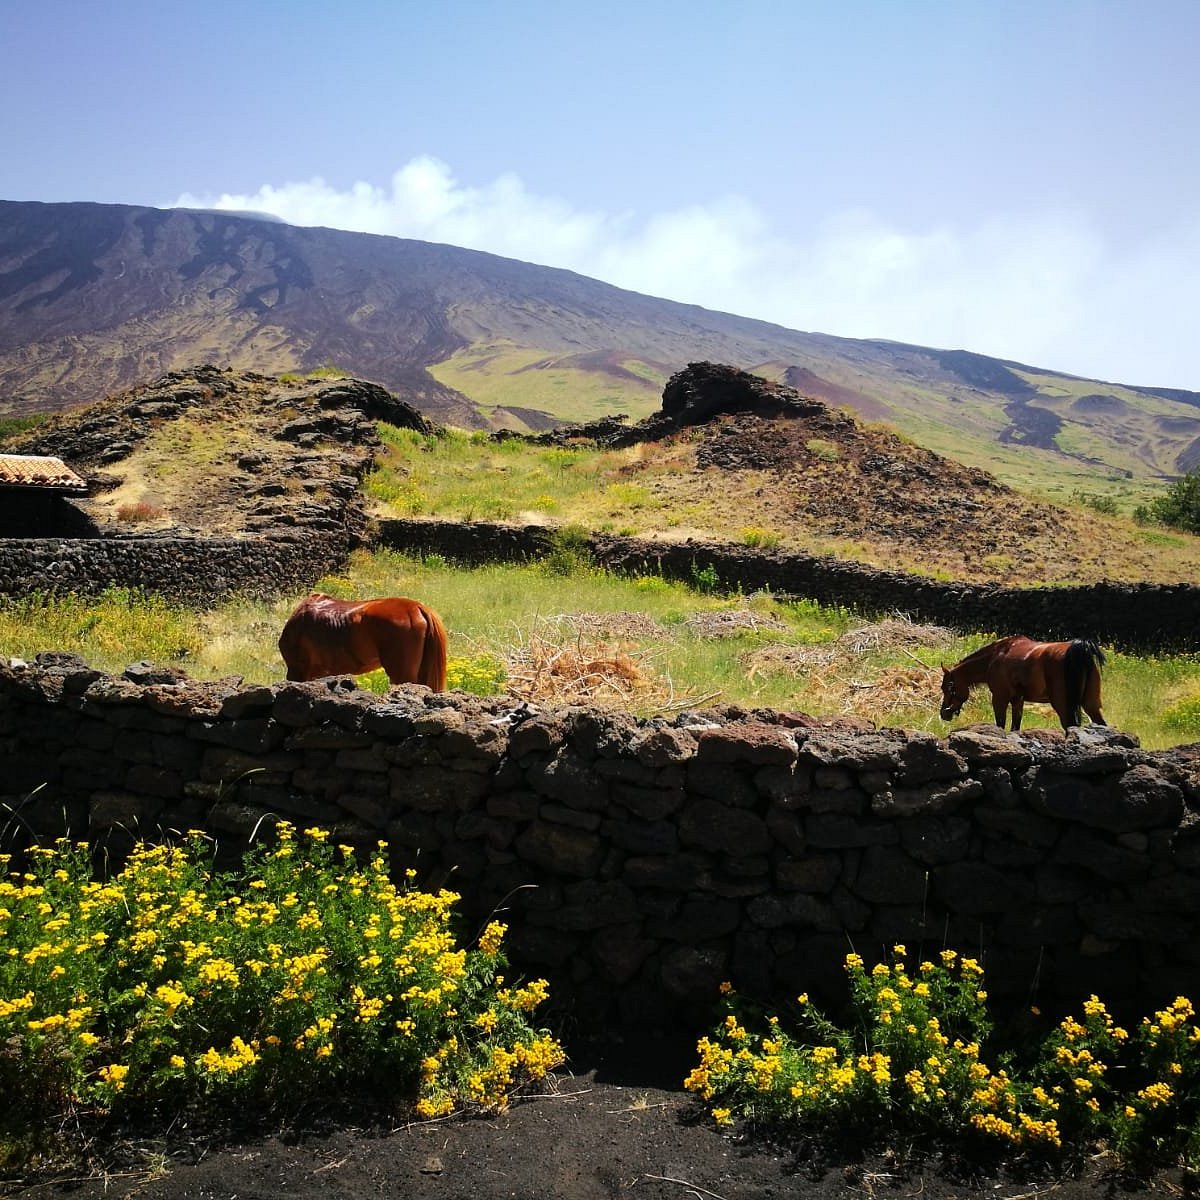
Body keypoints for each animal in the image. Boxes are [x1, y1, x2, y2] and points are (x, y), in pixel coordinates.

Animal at [936, 638, 1104, 729]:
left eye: (948, 687)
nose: (944, 713)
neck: (994, 657)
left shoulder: (999, 699)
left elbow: (1001, 725)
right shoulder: (1018, 700)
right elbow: (1015, 728)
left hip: (1063, 706)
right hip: (1090, 705)